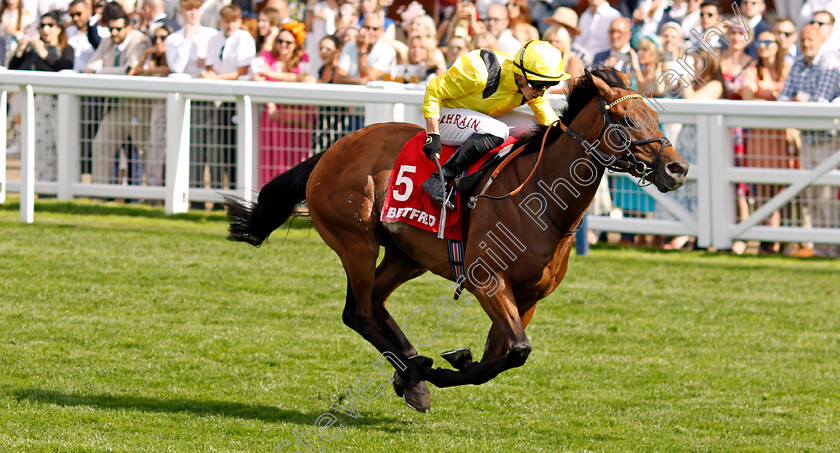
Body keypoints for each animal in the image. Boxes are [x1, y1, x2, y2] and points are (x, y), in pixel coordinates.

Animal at [225, 68, 688, 414]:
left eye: (654, 116)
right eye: (626, 120)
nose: (677, 168)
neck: (540, 198)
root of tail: (334, 148)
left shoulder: (528, 297)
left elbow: (503, 356)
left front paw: (448, 364)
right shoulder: (488, 281)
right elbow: (516, 351)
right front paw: (440, 369)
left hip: (406, 254)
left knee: (375, 304)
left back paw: (410, 371)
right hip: (356, 241)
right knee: (357, 313)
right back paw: (414, 373)